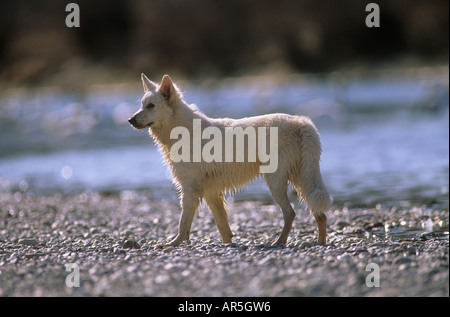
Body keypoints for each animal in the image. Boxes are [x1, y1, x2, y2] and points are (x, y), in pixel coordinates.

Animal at [128, 75, 332, 246]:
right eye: (142, 104)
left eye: (151, 106)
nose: (130, 120)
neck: (181, 130)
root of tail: (302, 123)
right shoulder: (211, 193)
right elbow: (223, 227)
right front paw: (227, 246)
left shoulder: (190, 189)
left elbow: (183, 223)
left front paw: (172, 244)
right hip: (302, 178)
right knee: (319, 214)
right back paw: (320, 243)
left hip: (276, 181)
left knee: (290, 213)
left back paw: (277, 243)